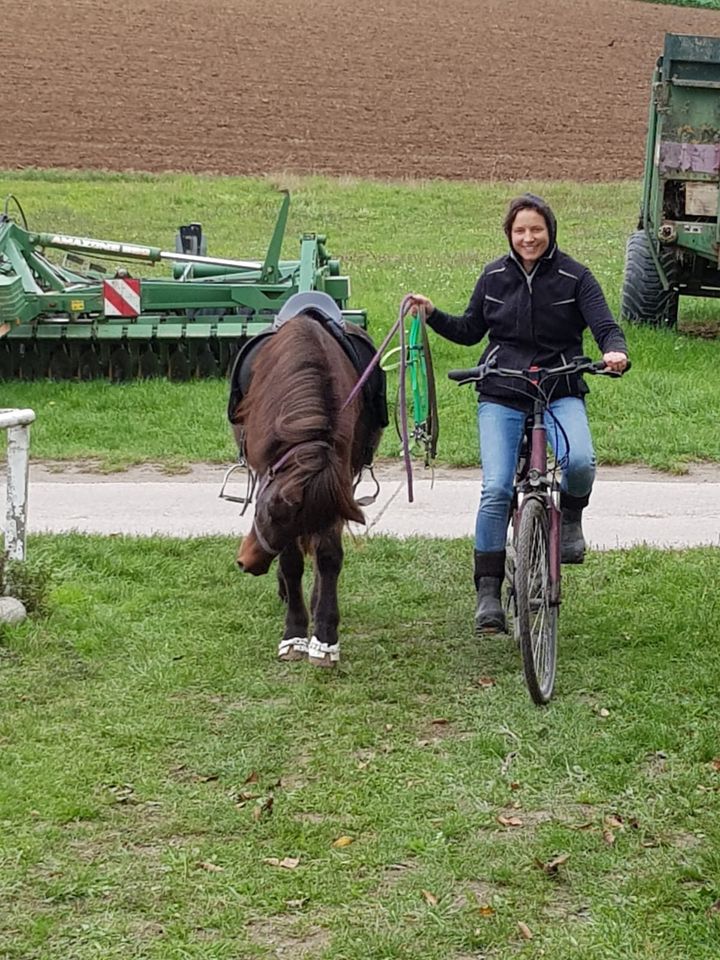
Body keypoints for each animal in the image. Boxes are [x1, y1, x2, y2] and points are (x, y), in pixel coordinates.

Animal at [235, 314, 382, 668]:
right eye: (267, 510)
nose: (247, 562)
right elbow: (291, 562)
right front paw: (294, 633)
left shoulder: (337, 491)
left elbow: (327, 556)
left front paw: (325, 637)